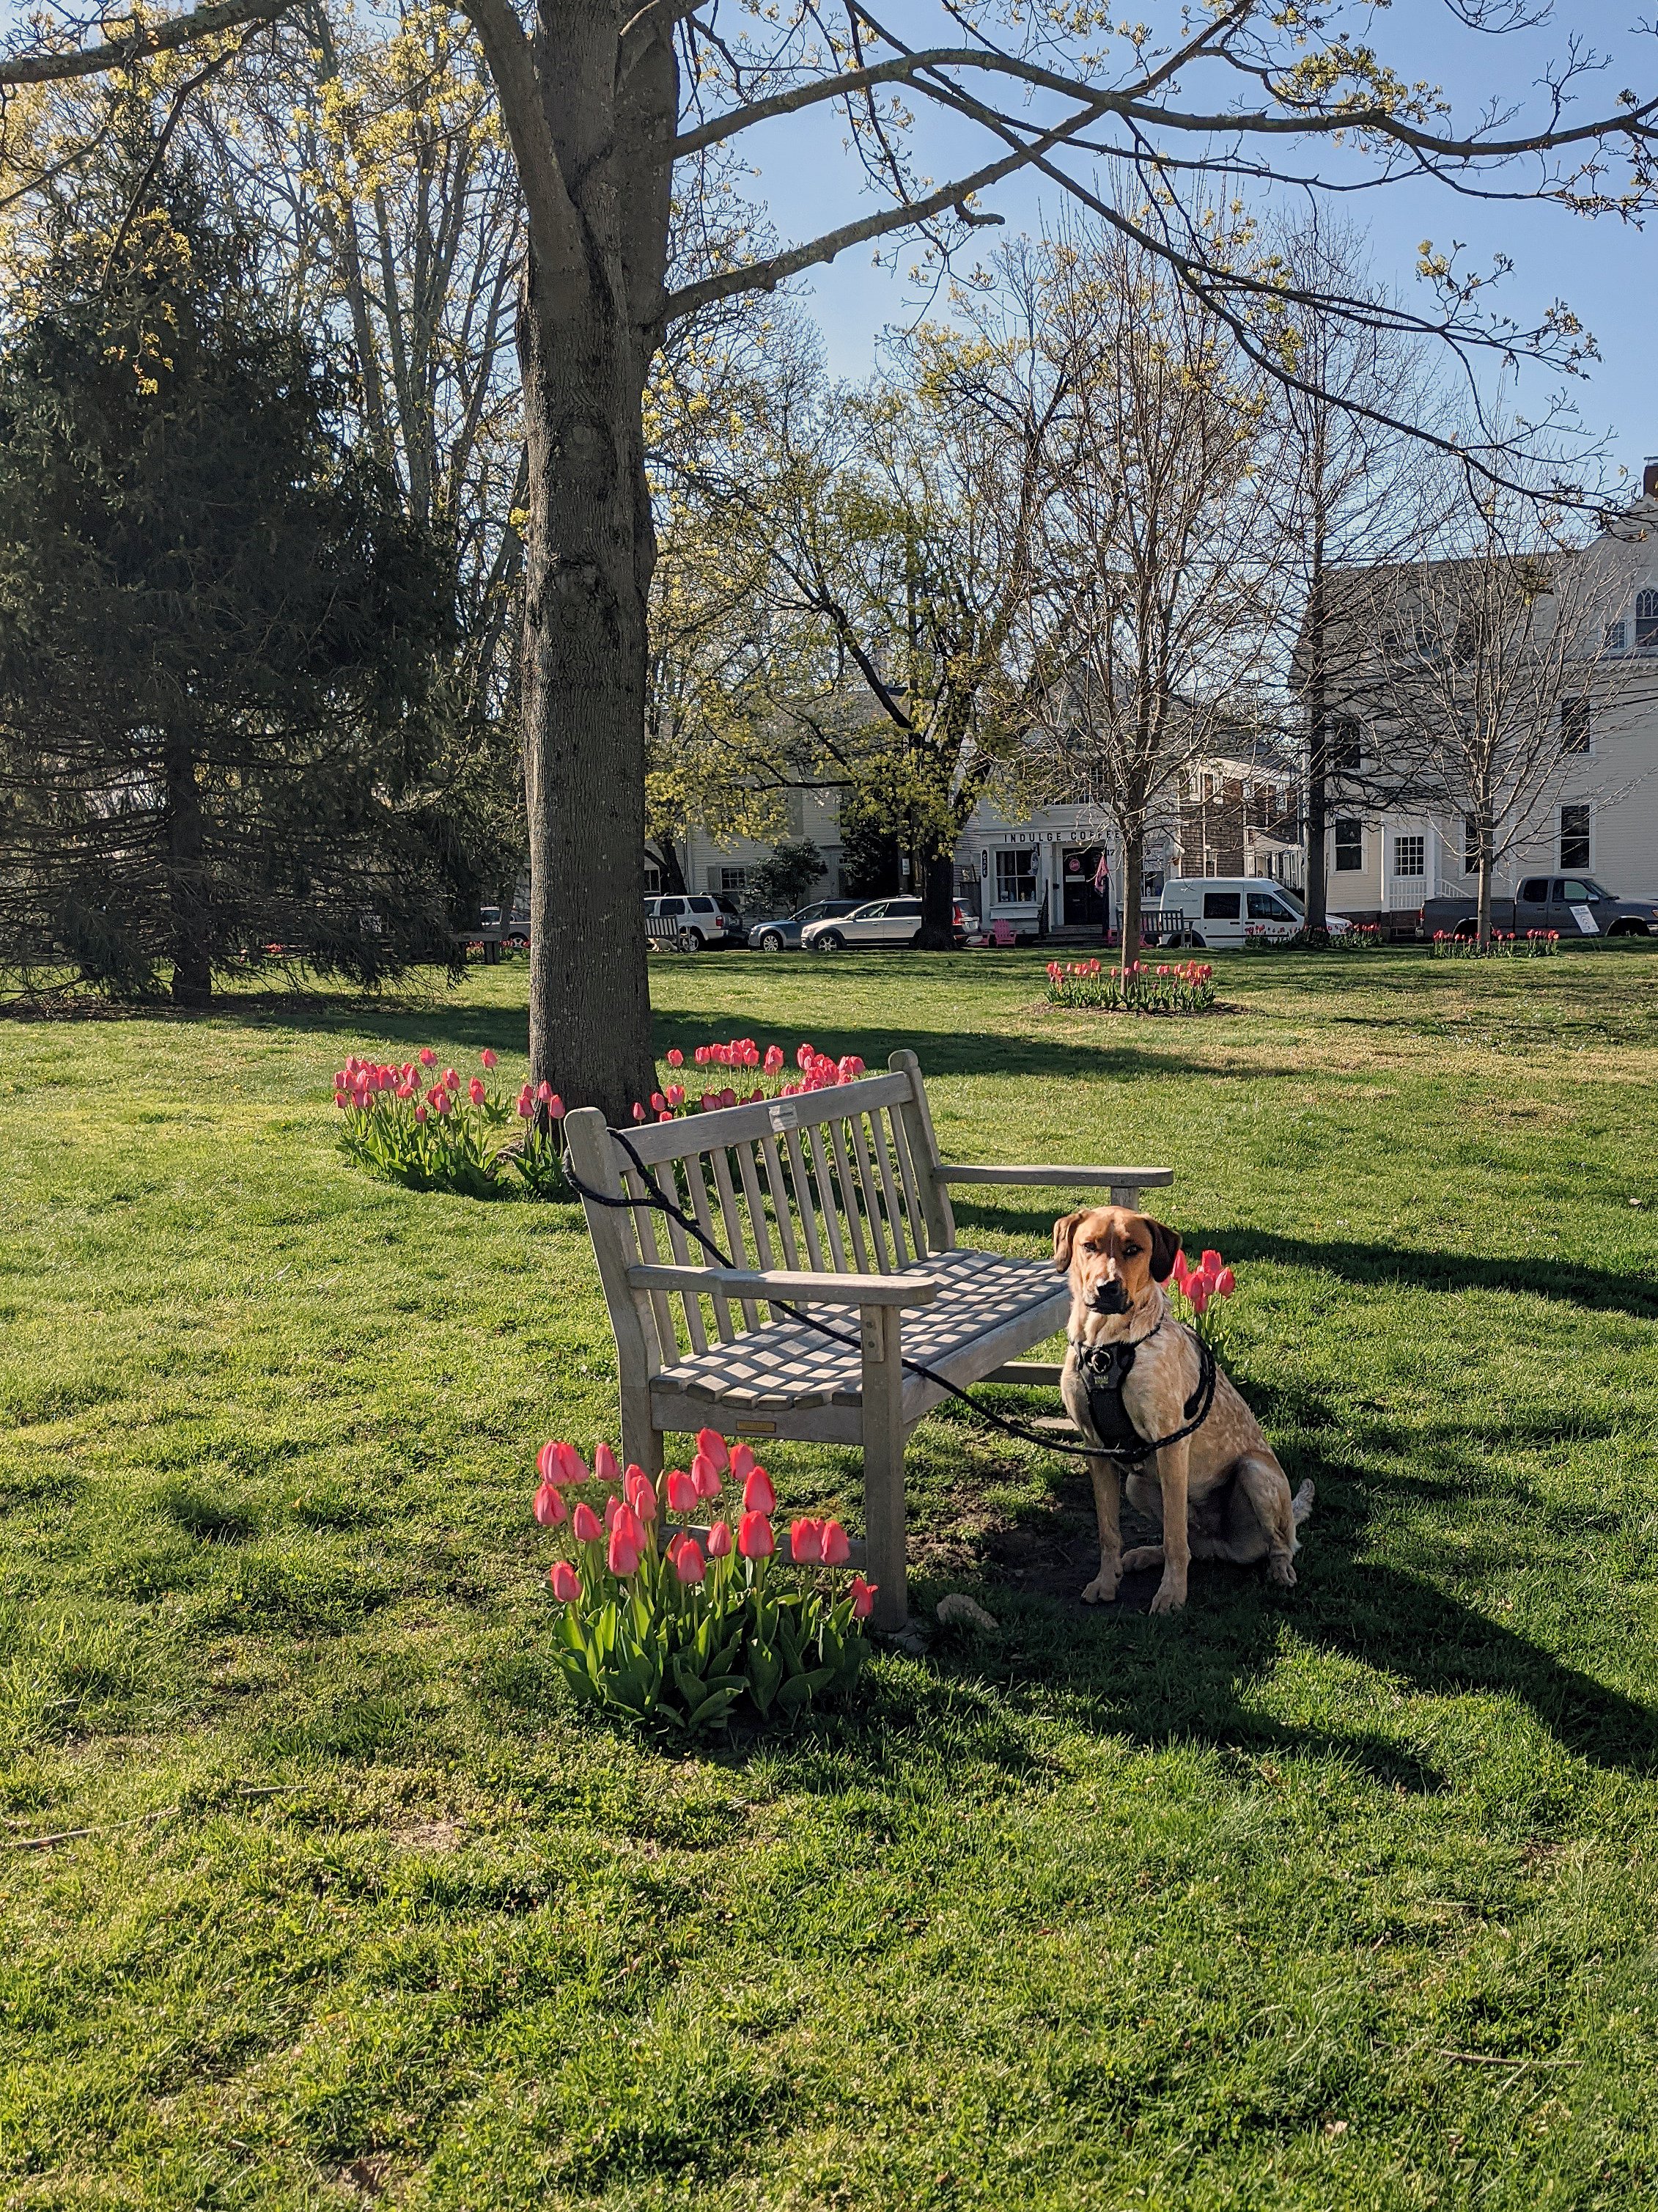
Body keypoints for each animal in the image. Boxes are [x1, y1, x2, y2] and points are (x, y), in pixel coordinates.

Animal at [1056, 1212, 1317, 1610]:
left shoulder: (1171, 1444)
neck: (1105, 1347)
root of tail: (1223, 1545)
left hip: (1256, 1473)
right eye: (1089, 1246)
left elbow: (1176, 1537)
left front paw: (1171, 1594)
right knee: (1193, 1545)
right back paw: (1147, 1554)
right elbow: (1109, 1531)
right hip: (1136, 1485)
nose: (1108, 1288)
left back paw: (1280, 1569)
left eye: (1134, 1249)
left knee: (1280, 1544)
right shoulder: (1095, 1448)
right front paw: (1106, 1581)